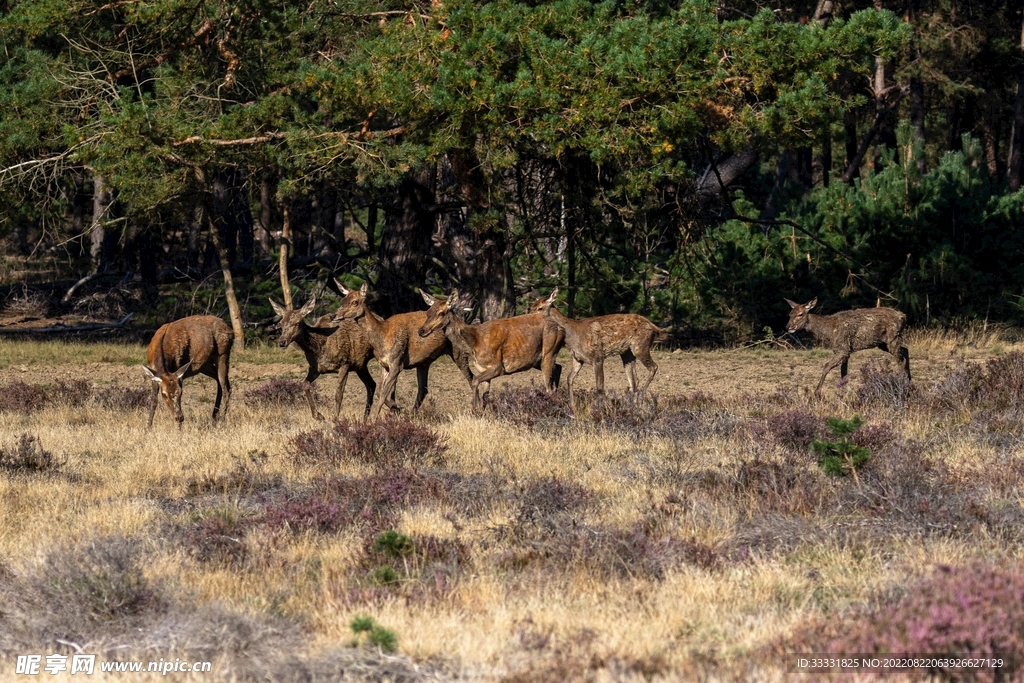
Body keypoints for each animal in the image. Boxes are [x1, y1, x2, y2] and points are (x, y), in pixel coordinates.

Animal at [330, 280, 473, 416]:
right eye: (342, 300)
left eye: (354, 302)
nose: (333, 315)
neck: (382, 338)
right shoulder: (385, 365)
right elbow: (380, 392)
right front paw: (396, 410)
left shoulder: (397, 363)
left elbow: (383, 394)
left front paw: (376, 418)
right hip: (423, 363)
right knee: (423, 389)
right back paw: (412, 415)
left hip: (458, 352)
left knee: (471, 378)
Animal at [417, 289, 564, 410]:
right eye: (427, 312)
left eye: (441, 313)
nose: (421, 330)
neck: (474, 343)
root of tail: (560, 327)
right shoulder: (483, 368)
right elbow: (485, 397)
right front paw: (480, 413)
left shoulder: (497, 366)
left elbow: (475, 381)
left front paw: (473, 409)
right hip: (536, 360)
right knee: (558, 368)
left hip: (549, 349)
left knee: (548, 388)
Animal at [530, 288, 669, 405]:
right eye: (532, 306)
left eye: (540, 308)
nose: (529, 316)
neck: (572, 338)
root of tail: (652, 326)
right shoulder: (578, 358)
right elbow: (569, 379)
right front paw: (572, 405)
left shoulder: (597, 357)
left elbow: (600, 387)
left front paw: (601, 408)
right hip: (626, 352)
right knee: (634, 380)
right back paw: (632, 403)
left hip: (640, 345)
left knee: (653, 367)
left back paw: (640, 397)